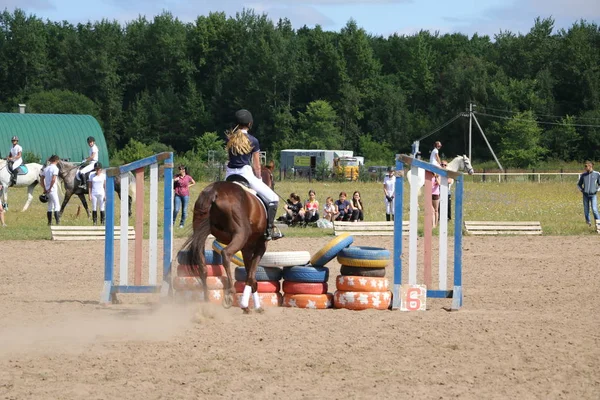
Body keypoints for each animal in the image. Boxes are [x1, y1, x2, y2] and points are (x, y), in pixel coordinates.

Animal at [183, 180, 268, 314]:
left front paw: (248, 306)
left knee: (202, 266)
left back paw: (207, 301)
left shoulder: (246, 249)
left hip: (200, 232)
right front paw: (253, 306)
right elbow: (251, 274)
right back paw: (230, 293)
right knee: (226, 254)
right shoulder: (259, 247)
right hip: (241, 233)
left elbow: (249, 273)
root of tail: (214, 191)